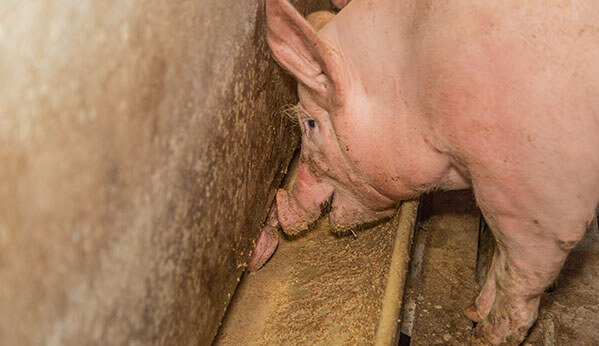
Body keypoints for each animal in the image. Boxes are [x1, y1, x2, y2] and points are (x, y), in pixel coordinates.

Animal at [248, 0, 599, 344]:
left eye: (309, 123)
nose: (280, 206)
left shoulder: (538, 201)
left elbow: (516, 281)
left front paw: (480, 335)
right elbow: (499, 257)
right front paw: (472, 311)